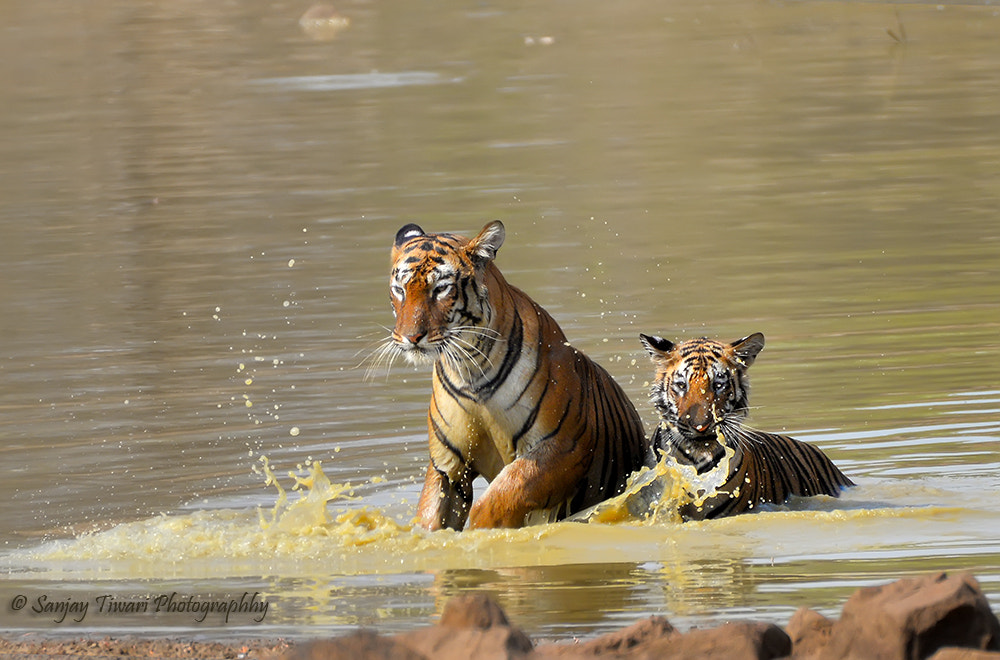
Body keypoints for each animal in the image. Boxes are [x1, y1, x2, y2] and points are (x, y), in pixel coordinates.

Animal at [378, 222, 652, 532]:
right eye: (399, 289)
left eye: (440, 289)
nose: (411, 337)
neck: (469, 368)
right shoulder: (447, 463)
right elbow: (431, 515)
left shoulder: (562, 447)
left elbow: (500, 497)